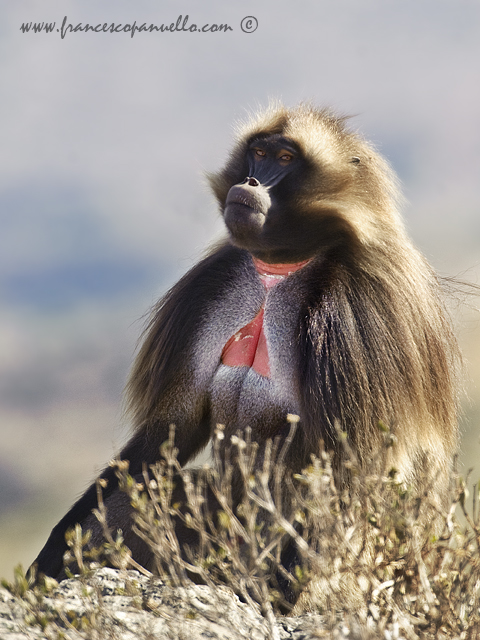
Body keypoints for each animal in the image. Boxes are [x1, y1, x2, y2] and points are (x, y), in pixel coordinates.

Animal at [31, 104, 460, 608]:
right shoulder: (214, 288)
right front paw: (54, 551)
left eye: (285, 157)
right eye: (258, 153)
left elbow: (351, 466)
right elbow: (171, 431)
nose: (251, 181)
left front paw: (279, 599)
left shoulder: (358, 314)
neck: (282, 267)